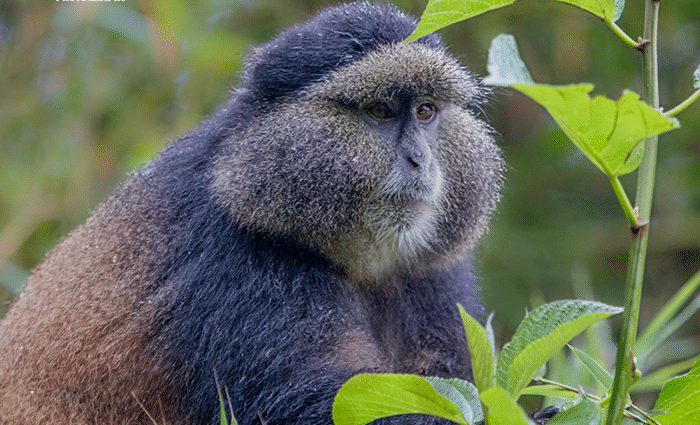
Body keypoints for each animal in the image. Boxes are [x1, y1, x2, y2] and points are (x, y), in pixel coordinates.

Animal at [0, 2, 504, 424]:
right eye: (379, 110)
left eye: (425, 111)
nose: (420, 161)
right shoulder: (236, 261)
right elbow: (322, 400)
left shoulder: (432, 275)